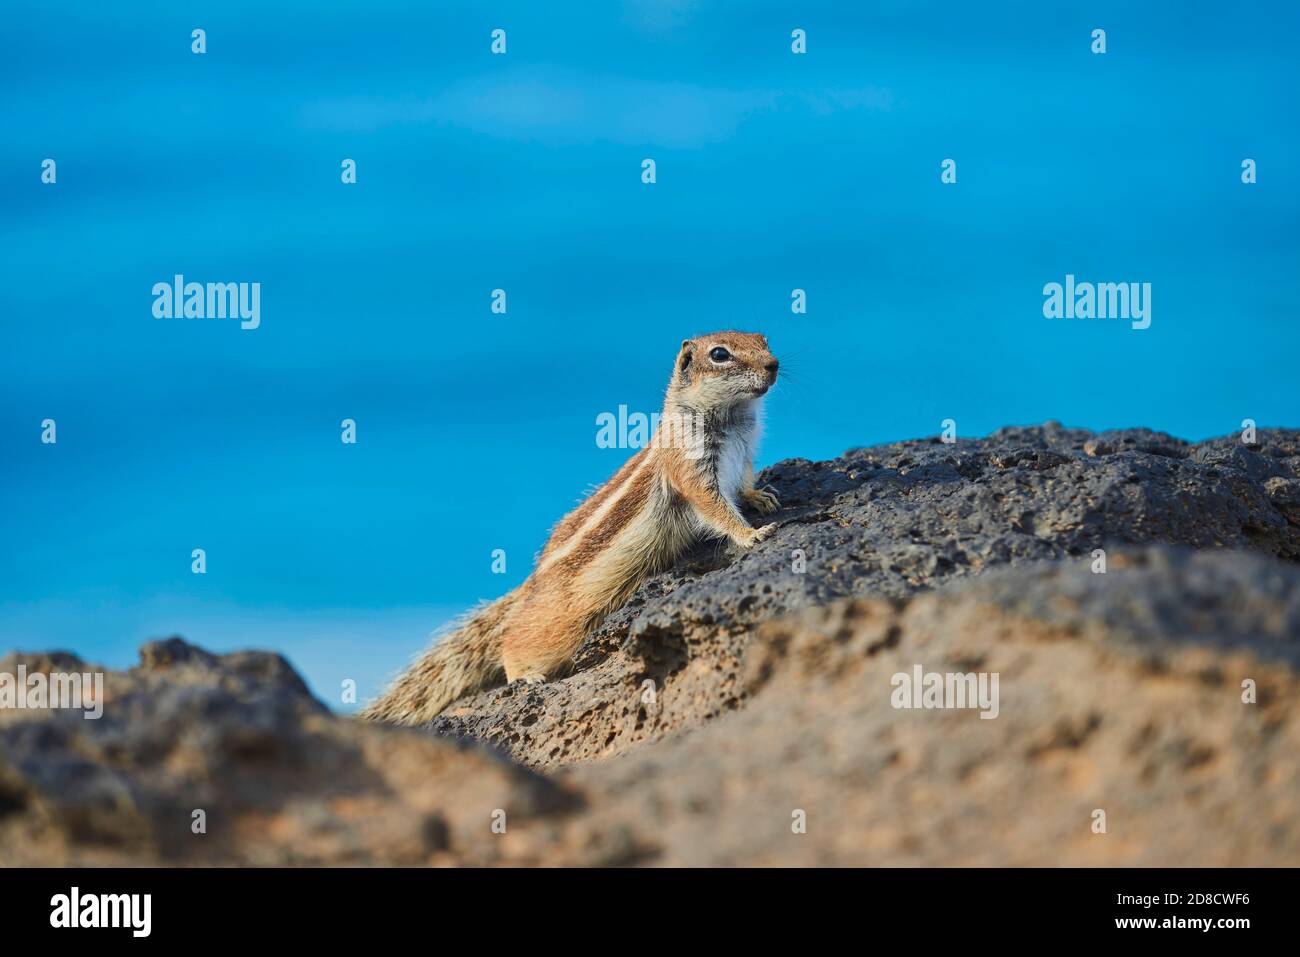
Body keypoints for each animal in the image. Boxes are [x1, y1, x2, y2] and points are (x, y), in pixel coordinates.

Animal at [361, 332, 774, 722]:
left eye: (763, 340)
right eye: (719, 354)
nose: (774, 365)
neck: (734, 418)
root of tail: (532, 584)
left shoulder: (744, 457)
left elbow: (742, 485)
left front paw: (760, 498)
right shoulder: (690, 466)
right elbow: (713, 506)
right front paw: (751, 534)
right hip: (561, 623)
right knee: (516, 639)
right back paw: (524, 675)